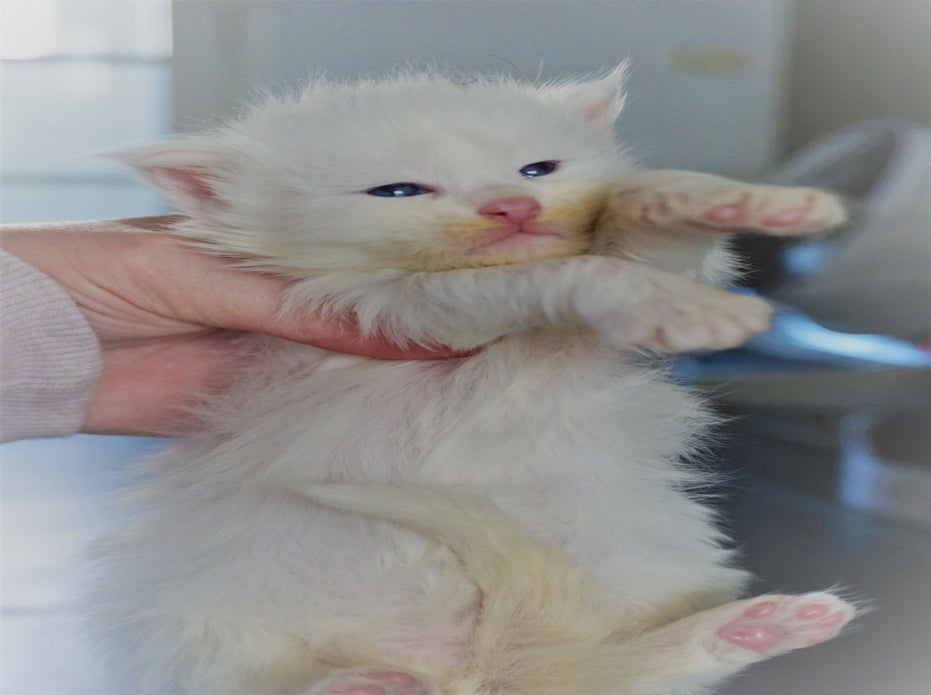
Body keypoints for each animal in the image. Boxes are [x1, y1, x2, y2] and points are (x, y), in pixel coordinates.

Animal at [89, 67, 856, 694]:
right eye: (399, 190)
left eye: (538, 169)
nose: (513, 206)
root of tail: (470, 671)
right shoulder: (403, 310)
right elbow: (538, 277)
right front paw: (653, 298)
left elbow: (641, 232)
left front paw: (726, 204)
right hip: (203, 624)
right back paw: (360, 684)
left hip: (646, 563)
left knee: (624, 668)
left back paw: (752, 627)